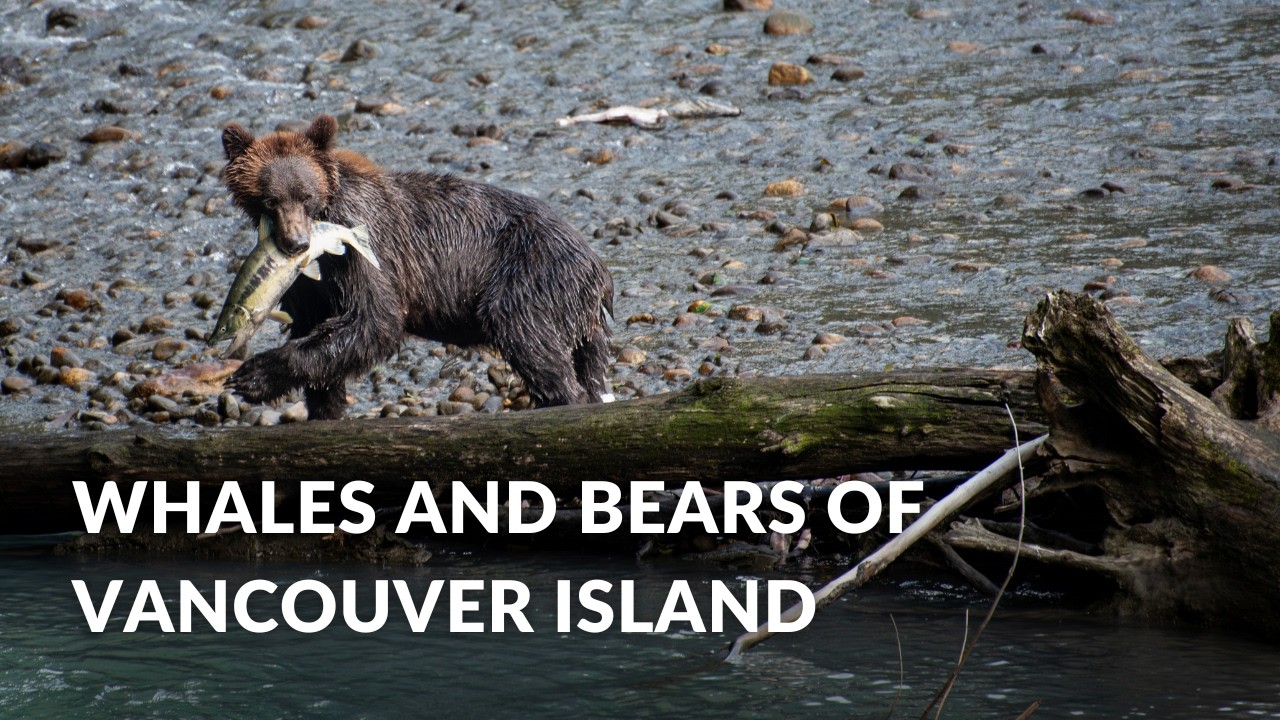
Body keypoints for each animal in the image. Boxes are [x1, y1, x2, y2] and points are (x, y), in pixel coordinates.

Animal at [218, 114, 614, 420]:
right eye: (270, 199)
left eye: (307, 195)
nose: (297, 243)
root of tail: (598, 271)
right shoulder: (309, 280)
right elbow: (315, 330)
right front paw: (323, 409)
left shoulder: (364, 246)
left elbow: (374, 320)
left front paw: (253, 376)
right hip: (577, 316)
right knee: (586, 366)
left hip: (532, 273)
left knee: (527, 333)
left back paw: (562, 400)